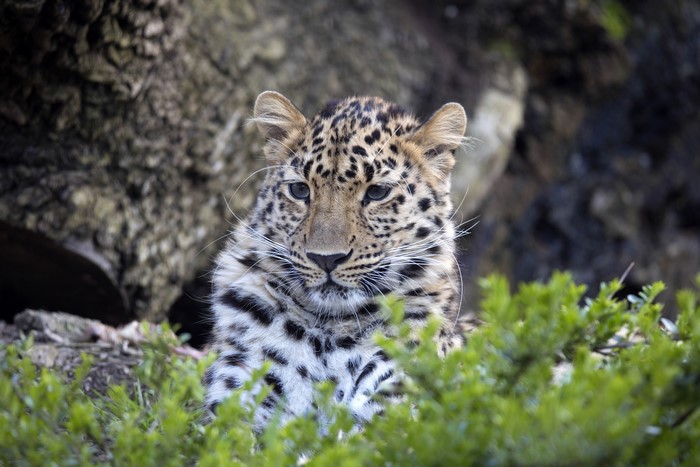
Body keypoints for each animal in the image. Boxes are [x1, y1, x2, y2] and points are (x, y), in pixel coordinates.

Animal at [203, 90, 468, 431]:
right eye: (300, 190)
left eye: (377, 192)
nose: (326, 258)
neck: (330, 332)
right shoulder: (237, 395)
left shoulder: (394, 406)